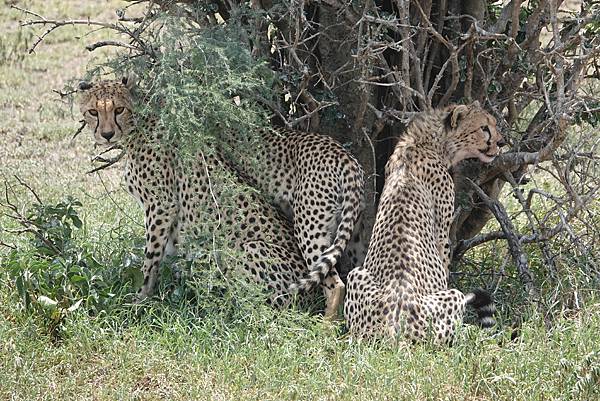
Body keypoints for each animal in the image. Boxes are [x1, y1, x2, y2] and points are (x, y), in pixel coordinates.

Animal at [77, 77, 324, 306]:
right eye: (93, 112)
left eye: (119, 109)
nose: (107, 134)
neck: (139, 123)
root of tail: (312, 297)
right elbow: (166, 254)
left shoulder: (162, 204)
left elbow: (151, 257)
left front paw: (142, 297)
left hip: (248, 249)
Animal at [342, 101, 502, 342]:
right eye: (484, 127)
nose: (501, 142)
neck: (427, 142)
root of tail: (393, 326)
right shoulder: (442, 232)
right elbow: (444, 262)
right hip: (452, 299)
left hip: (356, 276)